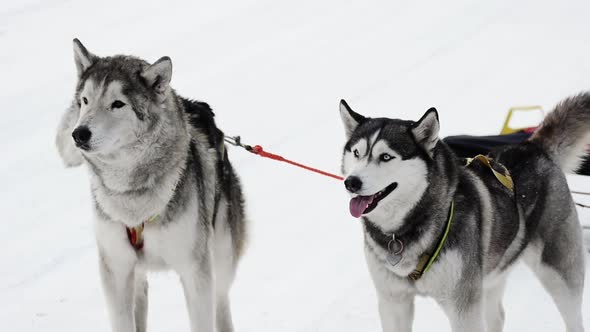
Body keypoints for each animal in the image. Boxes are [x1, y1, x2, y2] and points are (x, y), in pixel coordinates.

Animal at [56, 39, 247, 332]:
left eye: (118, 104)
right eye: (85, 100)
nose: (79, 134)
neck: (133, 200)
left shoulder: (195, 271)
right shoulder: (116, 270)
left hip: (221, 254)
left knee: (221, 300)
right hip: (137, 274)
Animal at [340, 96, 588, 332]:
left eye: (386, 157)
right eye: (356, 153)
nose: (351, 182)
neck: (401, 232)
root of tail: (531, 147)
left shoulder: (463, 308)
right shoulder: (393, 302)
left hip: (558, 273)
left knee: (574, 318)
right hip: (493, 274)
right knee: (497, 316)